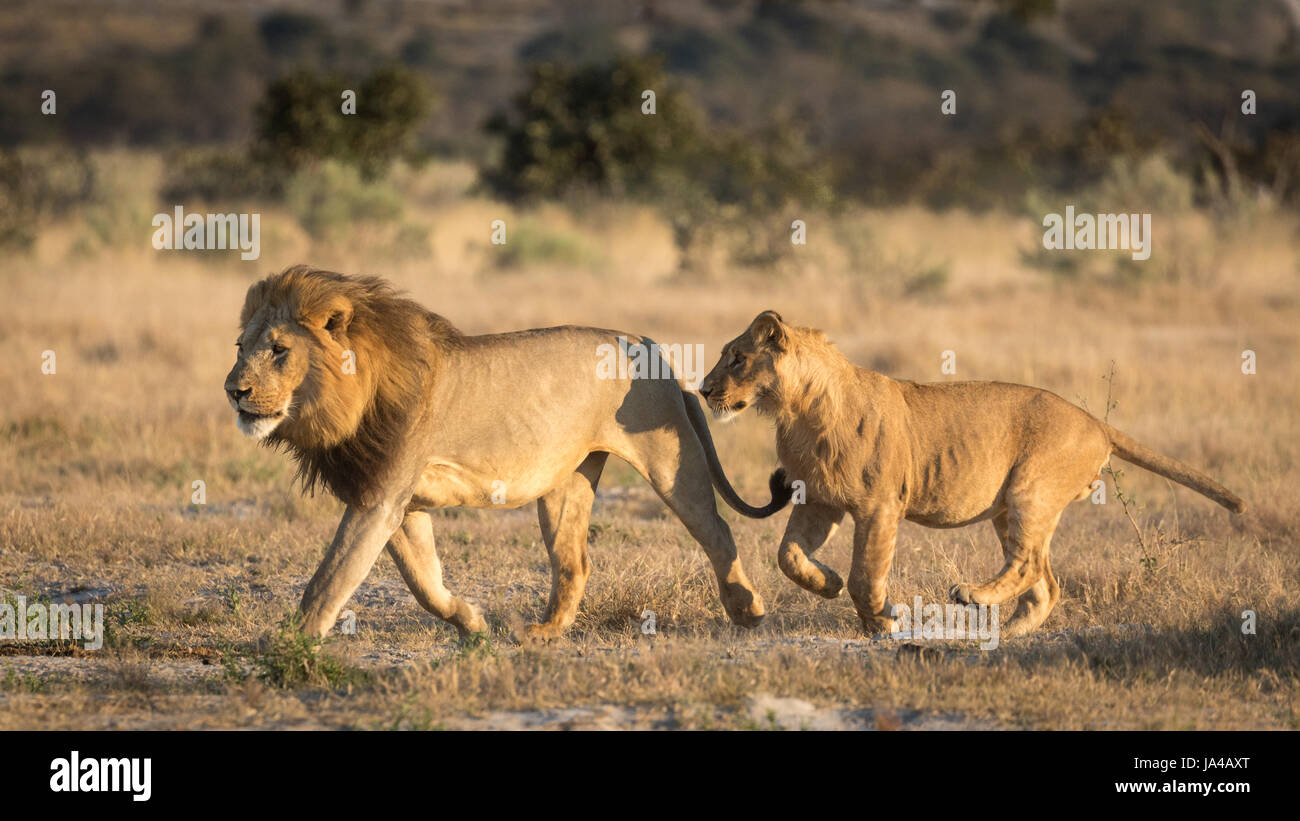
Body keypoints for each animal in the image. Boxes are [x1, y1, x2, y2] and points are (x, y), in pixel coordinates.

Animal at [223, 267, 785, 641]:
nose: (233, 390)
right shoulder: (395, 502)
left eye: (279, 350)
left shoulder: (379, 498)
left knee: (717, 529)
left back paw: (748, 611)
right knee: (574, 559)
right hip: (566, 482)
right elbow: (424, 581)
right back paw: (546, 632)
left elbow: (329, 580)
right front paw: (472, 622)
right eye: (240, 347)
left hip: (670, 461)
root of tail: (648, 344)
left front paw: (288, 650)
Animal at [702, 310, 1248, 639]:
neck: (795, 411)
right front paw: (828, 583)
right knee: (1045, 581)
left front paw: (881, 621)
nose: (704, 390)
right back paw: (1011, 632)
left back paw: (972, 595)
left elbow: (865, 574)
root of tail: (1095, 421)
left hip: (1030, 490)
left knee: (1029, 565)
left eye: (737, 358)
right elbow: (788, 556)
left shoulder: (879, 506)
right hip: (1010, 508)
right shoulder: (817, 500)